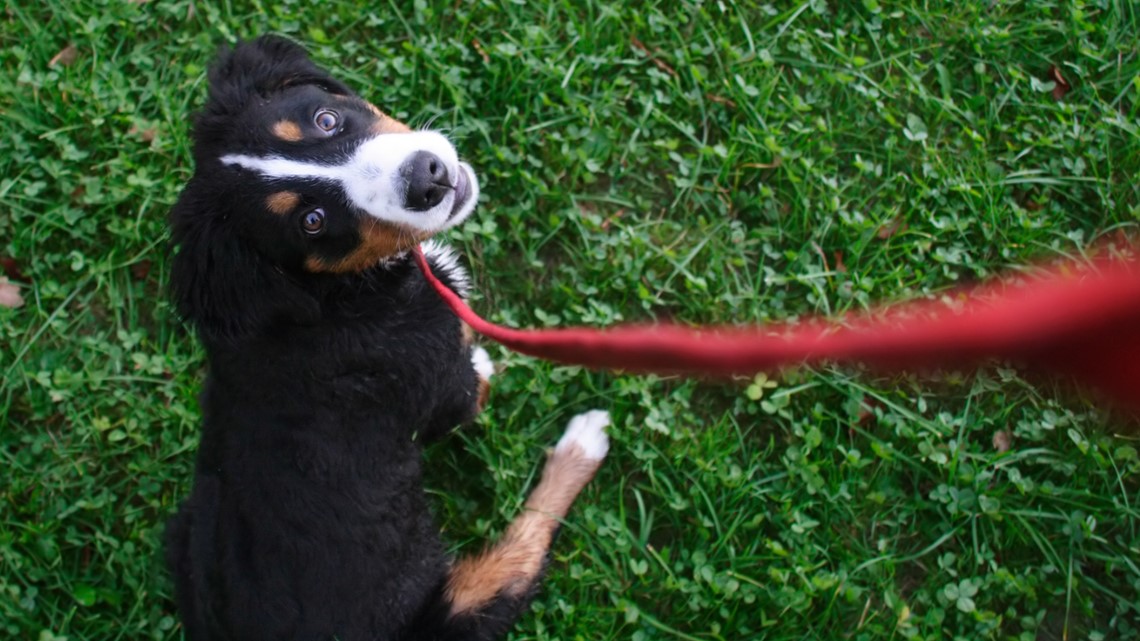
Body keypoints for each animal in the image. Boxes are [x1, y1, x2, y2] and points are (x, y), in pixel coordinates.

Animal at [165, 36, 611, 638]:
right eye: (312, 221)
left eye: (325, 120)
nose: (428, 178)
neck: (338, 295)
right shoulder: (441, 387)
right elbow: (470, 389)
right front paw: (486, 364)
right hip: (451, 608)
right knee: (523, 552)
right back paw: (583, 442)